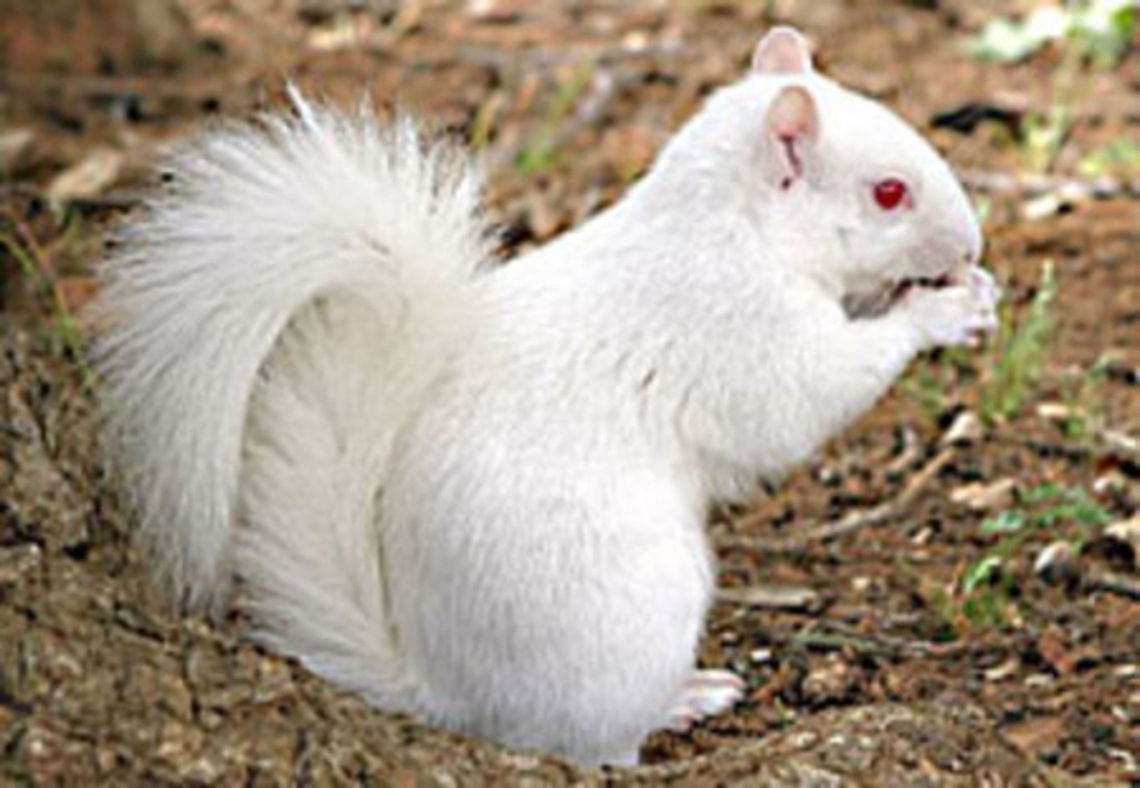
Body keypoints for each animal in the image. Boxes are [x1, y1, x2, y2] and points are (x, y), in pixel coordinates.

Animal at [94, 27, 999, 765]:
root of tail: (445, 690)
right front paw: (946, 310)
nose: (972, 243)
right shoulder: (741, 326)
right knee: (589, 742)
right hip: (631, 609)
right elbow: (810, 396)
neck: (728, 224)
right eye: (889, 193)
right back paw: (673, 706)